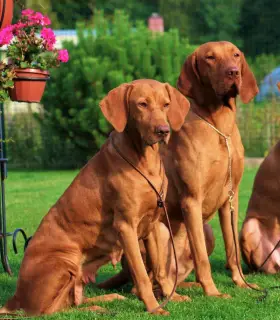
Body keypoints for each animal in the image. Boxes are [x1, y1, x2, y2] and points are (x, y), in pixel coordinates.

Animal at [0, 79, 190, 316]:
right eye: (142, 104)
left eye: (166, 105)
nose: (163, 131)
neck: (146, 162)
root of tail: (14, 298)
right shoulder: (126, 226)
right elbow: (142, 275)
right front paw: (154, 307)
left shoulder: (153, 224)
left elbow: (160, 269)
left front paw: (172, 296)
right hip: (64, 262)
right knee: (51, 311)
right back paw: (100, 307)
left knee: (72, 301)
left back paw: (108, 299)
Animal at [163, 42, 260, 298]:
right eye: (210, 58)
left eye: (236, 54)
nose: (233, 72)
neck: (220, 127)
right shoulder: (191, 200)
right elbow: (202, 259)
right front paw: (213, 291)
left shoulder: (230, 200)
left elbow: (232, 248)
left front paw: (242, 283)